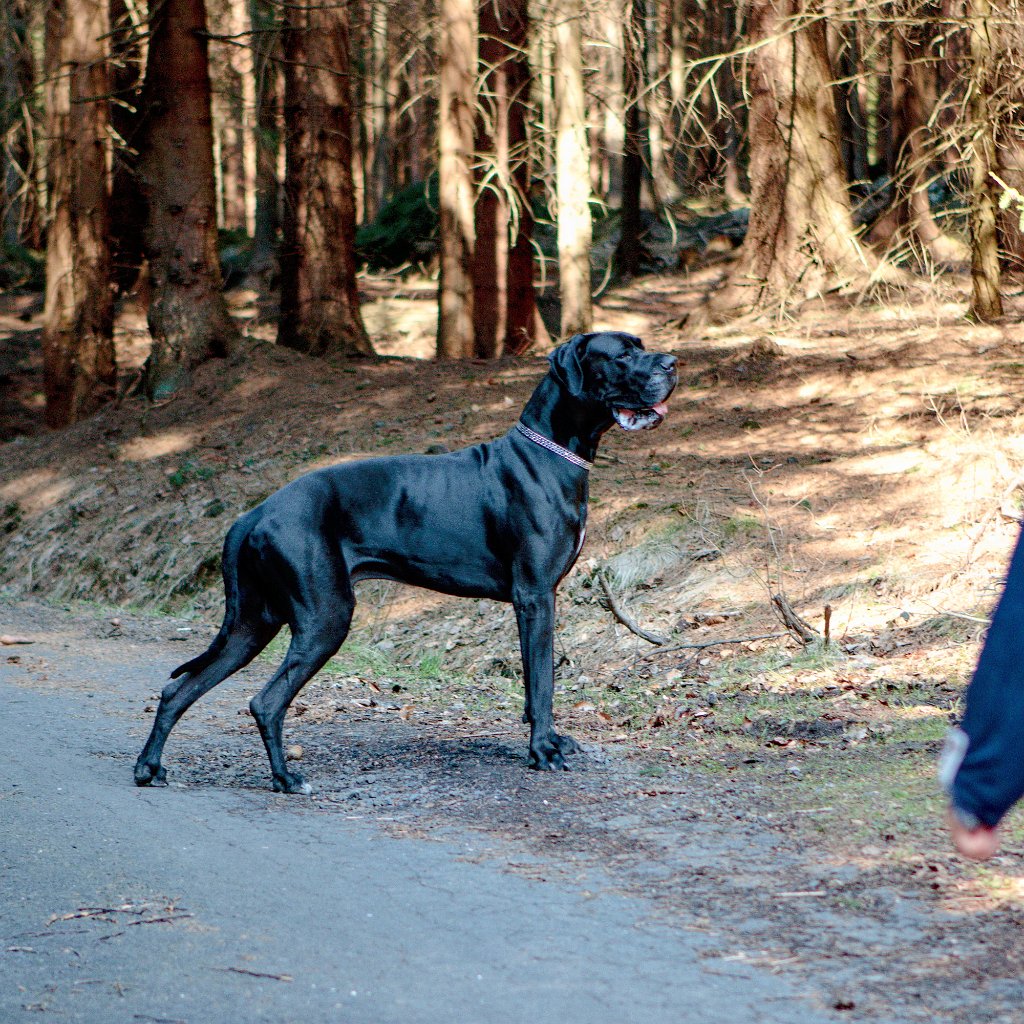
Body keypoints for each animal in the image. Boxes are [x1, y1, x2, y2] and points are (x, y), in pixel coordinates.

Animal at [138, 331, 679, 794]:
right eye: (623, 355)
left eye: (642, 346)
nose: (672, 363)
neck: (552, 454)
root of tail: (253, 513)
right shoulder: (535, 596)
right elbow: (542, 681)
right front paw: (543, 751)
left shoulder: (534, 601)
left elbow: (532, 686)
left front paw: (543, 741)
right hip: (324, 617)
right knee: (265, 701)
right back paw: (286, 779)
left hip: (251, 623)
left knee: (178, 690)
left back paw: (150, 767)